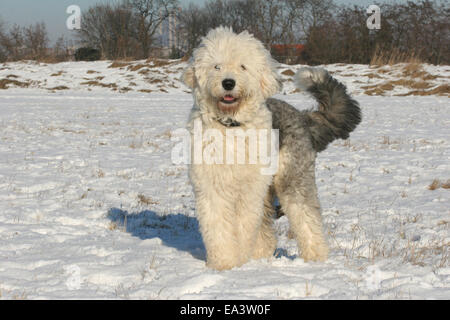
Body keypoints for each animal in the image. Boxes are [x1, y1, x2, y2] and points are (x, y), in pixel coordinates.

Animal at [181, 26, 360, 270]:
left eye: (243, 66)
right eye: (216, 66)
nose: (228, 83)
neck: (231, 125)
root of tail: (303, 117)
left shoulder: (249, 191)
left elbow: (244, 226)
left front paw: (238, 261)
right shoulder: (211, 187)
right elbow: (218, 228)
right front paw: (224, 263)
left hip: (292, 180)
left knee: (307, 219)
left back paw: (316, 258)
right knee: (266, 230)